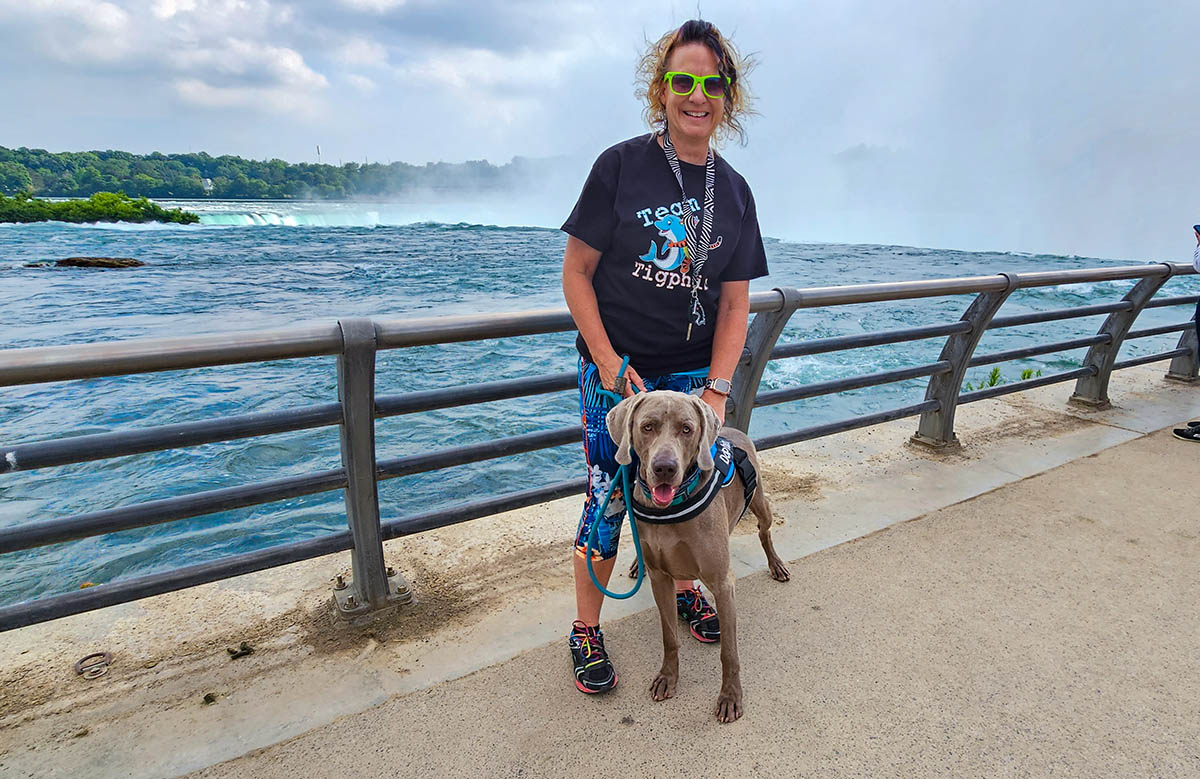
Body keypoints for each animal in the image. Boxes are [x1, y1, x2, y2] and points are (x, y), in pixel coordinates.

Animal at [606, 390, 790, 723]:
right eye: (647, 427)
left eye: (686, 429)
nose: (664, 468)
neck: (670, 508)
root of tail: (732, 430)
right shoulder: (661, 579)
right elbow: (669, 637)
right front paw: (667, 678)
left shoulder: (722, 583)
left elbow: (729, 652)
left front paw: (730, 697)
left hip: (760, 503)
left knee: (764, 531)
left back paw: (777, 565)